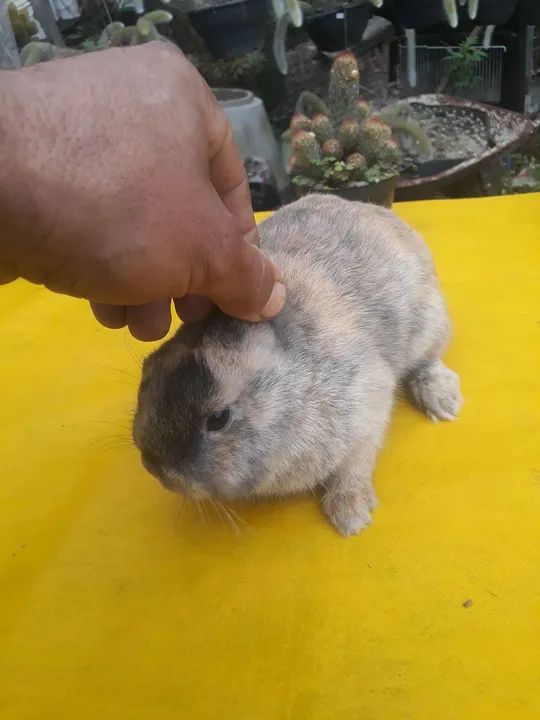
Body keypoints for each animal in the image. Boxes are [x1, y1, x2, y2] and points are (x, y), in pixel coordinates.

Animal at [132, 194, 462, 536]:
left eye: (218, 418)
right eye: (148, 372)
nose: (158, 470)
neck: (291, 389)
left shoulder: (367, 408)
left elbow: (356, 463)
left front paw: (350, 516)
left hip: (429, 324)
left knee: (428, 362)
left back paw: (443, 402)